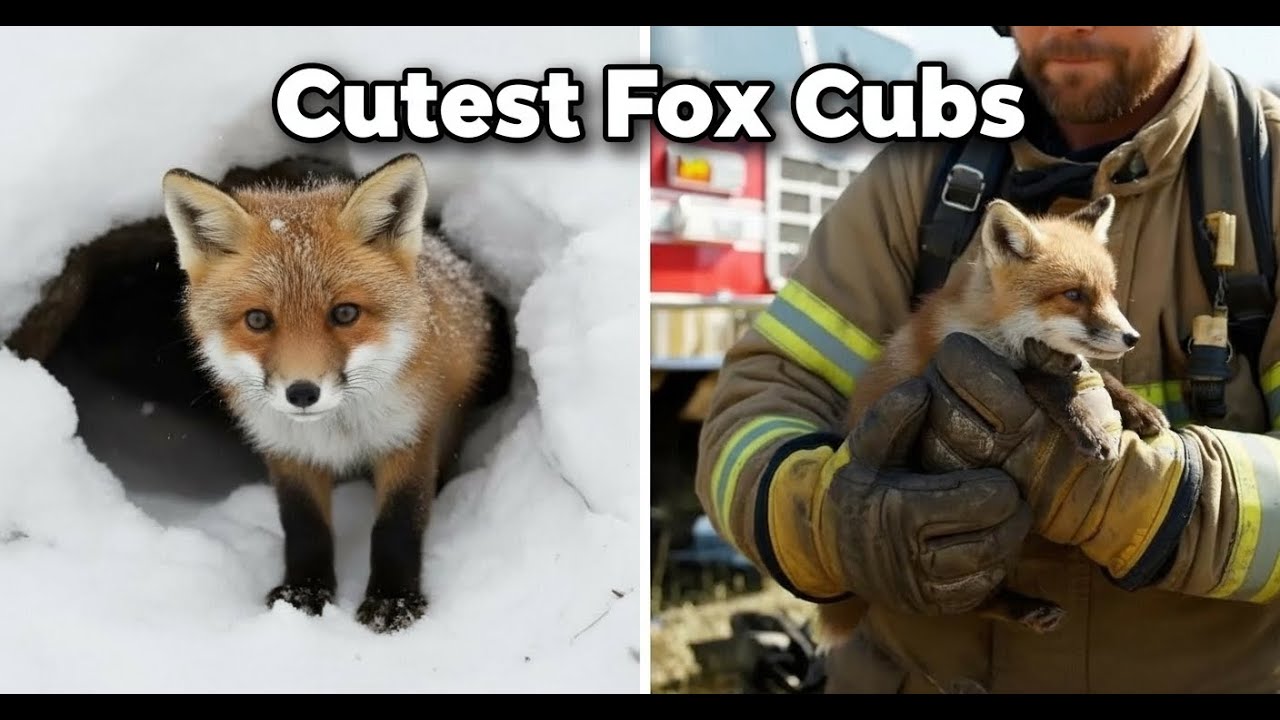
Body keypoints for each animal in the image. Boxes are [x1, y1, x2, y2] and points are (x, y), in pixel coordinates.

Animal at [161, 152, 504, 633]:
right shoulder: (286, 447)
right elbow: (304, 527)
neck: (338, 431)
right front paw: (304, 593)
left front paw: (393, 601)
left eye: (344, 313)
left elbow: (398, 525)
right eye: (257, 320)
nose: (302, 393)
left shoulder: (410, 436)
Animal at [818, 193, 1171, 648]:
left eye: (1110, 293)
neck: (996, 328)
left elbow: (1099, 376)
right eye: (1073, 294)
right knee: (965, 598)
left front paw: (1136, 408)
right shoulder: (958, 356)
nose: (1132, 338)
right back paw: (1019, 607)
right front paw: (1085, 422)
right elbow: (1037, 378)